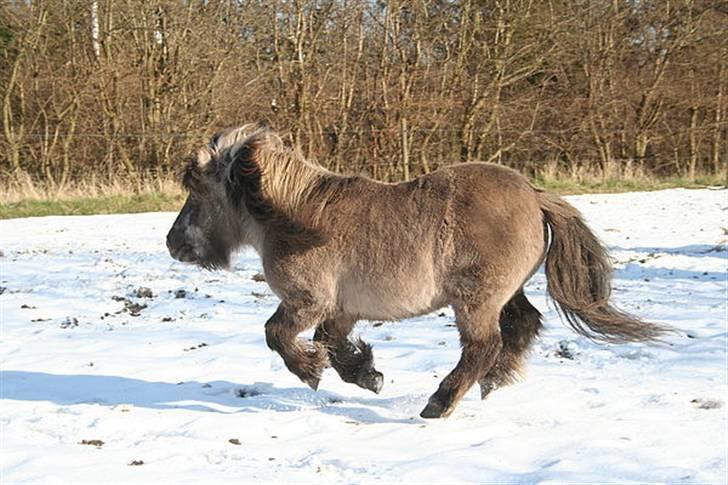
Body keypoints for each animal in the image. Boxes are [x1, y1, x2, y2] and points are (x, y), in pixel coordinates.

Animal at [166, 124, 672, 416]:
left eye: (198, 191)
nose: (173, 244)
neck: (297, 218)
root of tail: (534, 194)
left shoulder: (306, 301)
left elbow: (278, 335)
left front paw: (310, 371)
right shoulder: (342, 309)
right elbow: (334, 345)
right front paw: (368, 375)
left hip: (475, 299)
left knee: (484, 346)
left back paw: (440, 402)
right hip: (505, 293)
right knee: (523, 326)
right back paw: (492, 384)